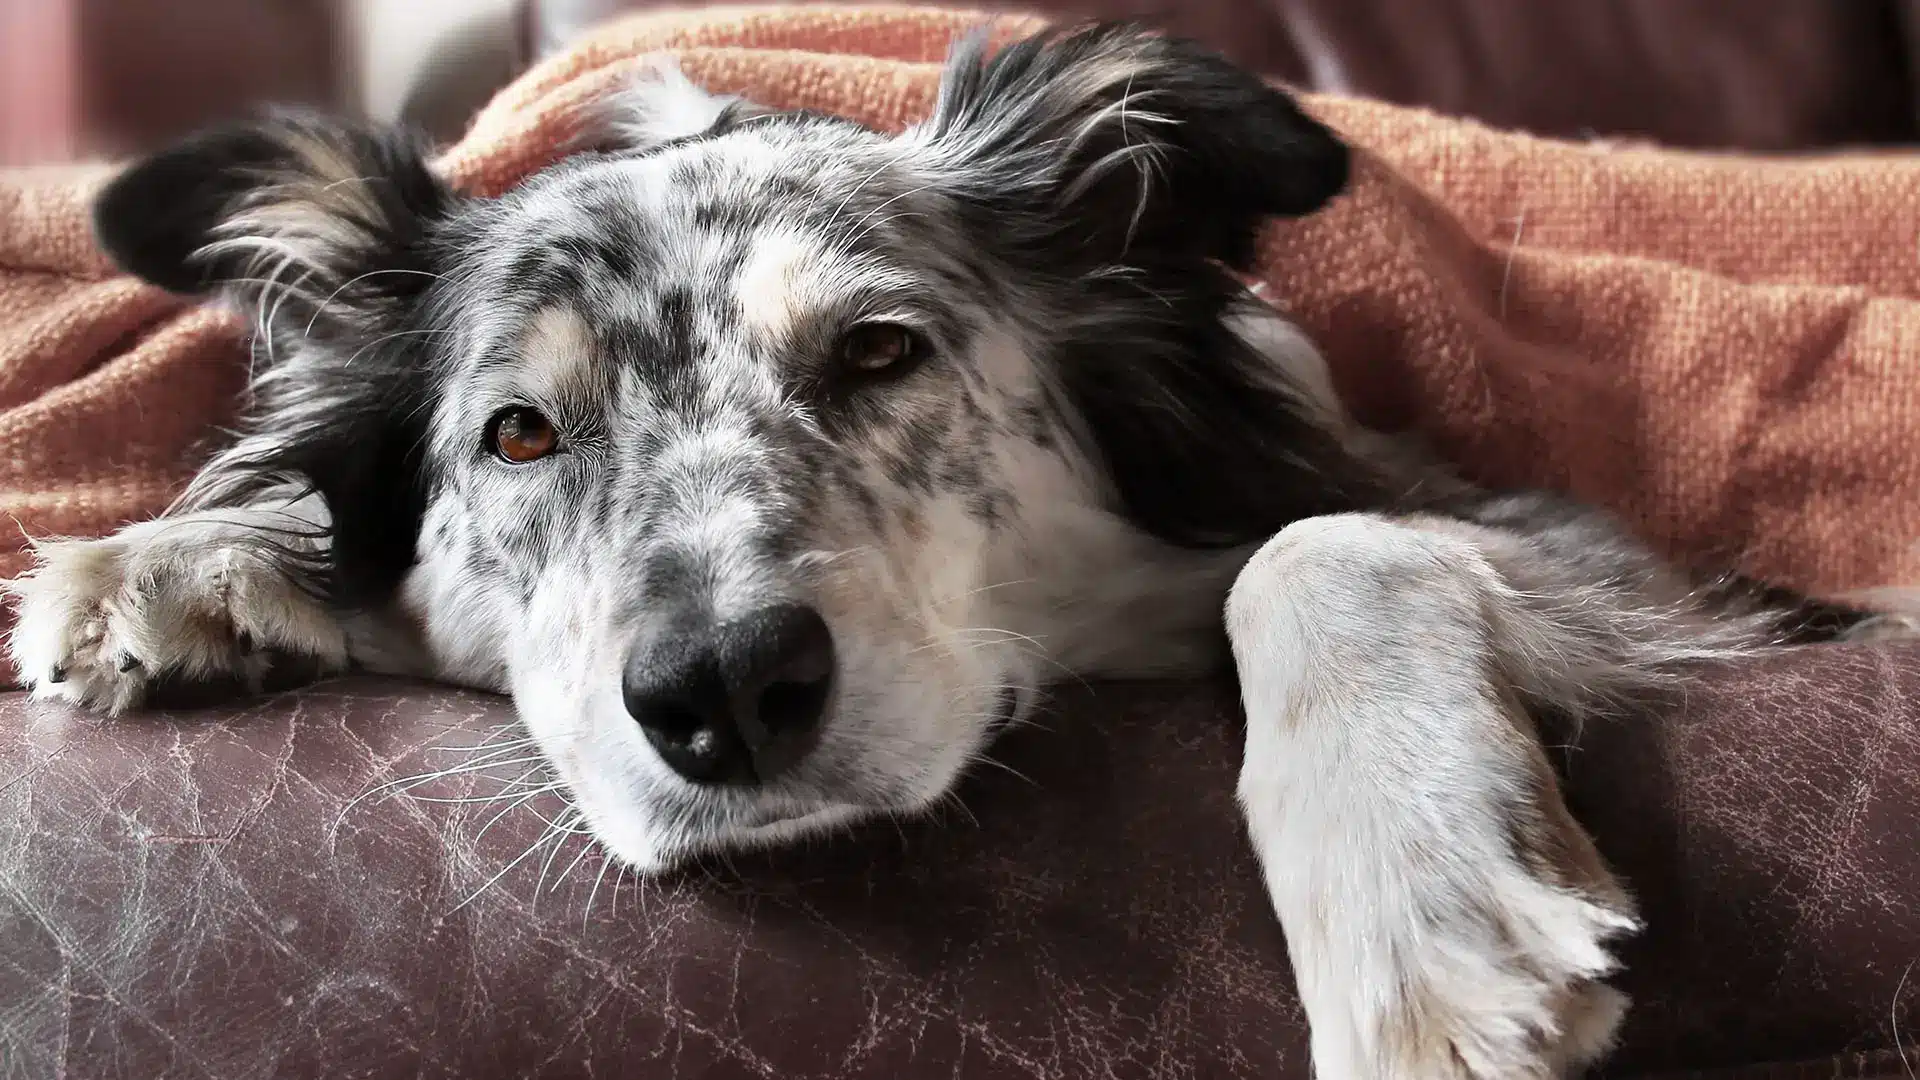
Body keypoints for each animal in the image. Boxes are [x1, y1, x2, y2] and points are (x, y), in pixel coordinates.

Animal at [11, 25, 1904, 1076]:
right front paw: (174, 560)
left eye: (877, 353)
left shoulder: (1589, 553)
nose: (722, 695)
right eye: (521, 436)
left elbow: (1323, 543)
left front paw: (1419, 911)